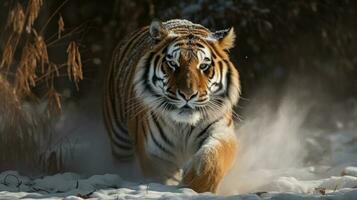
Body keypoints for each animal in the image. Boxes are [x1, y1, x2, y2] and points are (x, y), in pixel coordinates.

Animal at [102, 19, 239, 193]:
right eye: (173, 64)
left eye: (203, 66)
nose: (188, 95)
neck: (184, 125)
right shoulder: (156, 154)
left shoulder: (222, 131)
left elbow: (212, 160)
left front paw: (194, 185)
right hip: (120, 140)